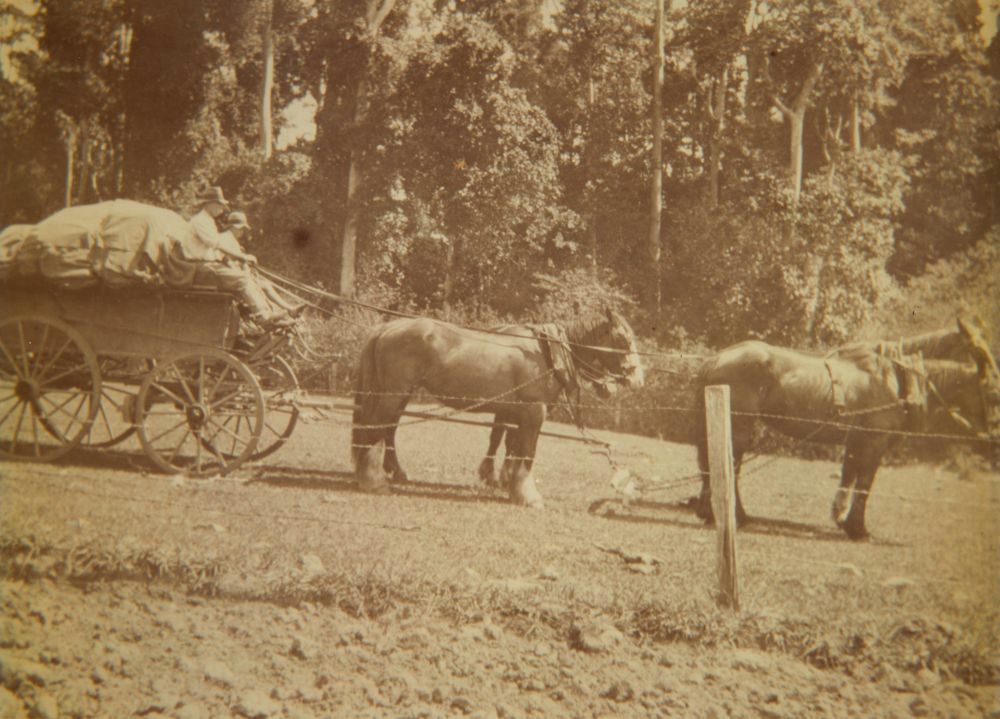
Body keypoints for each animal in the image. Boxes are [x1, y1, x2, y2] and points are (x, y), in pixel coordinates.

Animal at [352, 309, 644, 508]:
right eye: (624, 339)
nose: (638, 379)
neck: (546, 354)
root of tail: (387, 329)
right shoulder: (533, 411)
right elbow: (526, 452)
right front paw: (527, 495)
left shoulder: (515, 411)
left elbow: (510, 446)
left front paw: (507, 483)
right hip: (392, 394)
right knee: (375, 428)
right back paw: (373, 481)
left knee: (383, 430)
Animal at [693, 340, 999, 540]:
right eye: (994, 393)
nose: (993, 439)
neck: (897, 383)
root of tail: (716, 359)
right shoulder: (874, 442)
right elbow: (864, 484)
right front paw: (857, 528)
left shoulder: (856, 442)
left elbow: (848, 477)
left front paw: (841, 518)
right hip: (739, 424)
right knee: (728, 468)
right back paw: (735, 515)